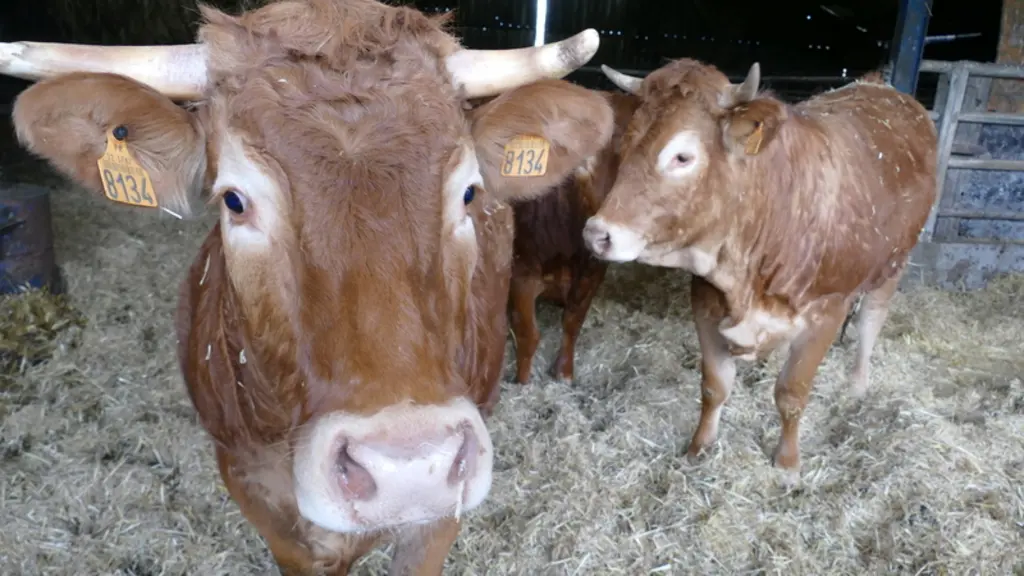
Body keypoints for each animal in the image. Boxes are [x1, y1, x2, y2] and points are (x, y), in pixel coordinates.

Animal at [506, 91, 640, 385]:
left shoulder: (593, 270)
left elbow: (573, 321)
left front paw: (564, 372)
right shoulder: (520, 271)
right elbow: (527, 334)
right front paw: (522, 381)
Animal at [582, 58, 937, 477]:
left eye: (682, 156)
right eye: (624, 145)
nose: (597, 234)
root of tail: (881, 89)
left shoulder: (826, 311)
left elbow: (791, 394)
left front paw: (787, 464)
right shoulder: (706, 302)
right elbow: (714, 386)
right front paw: (699, 448)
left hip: (892, 264)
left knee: (870, 322)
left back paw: (857, 385)